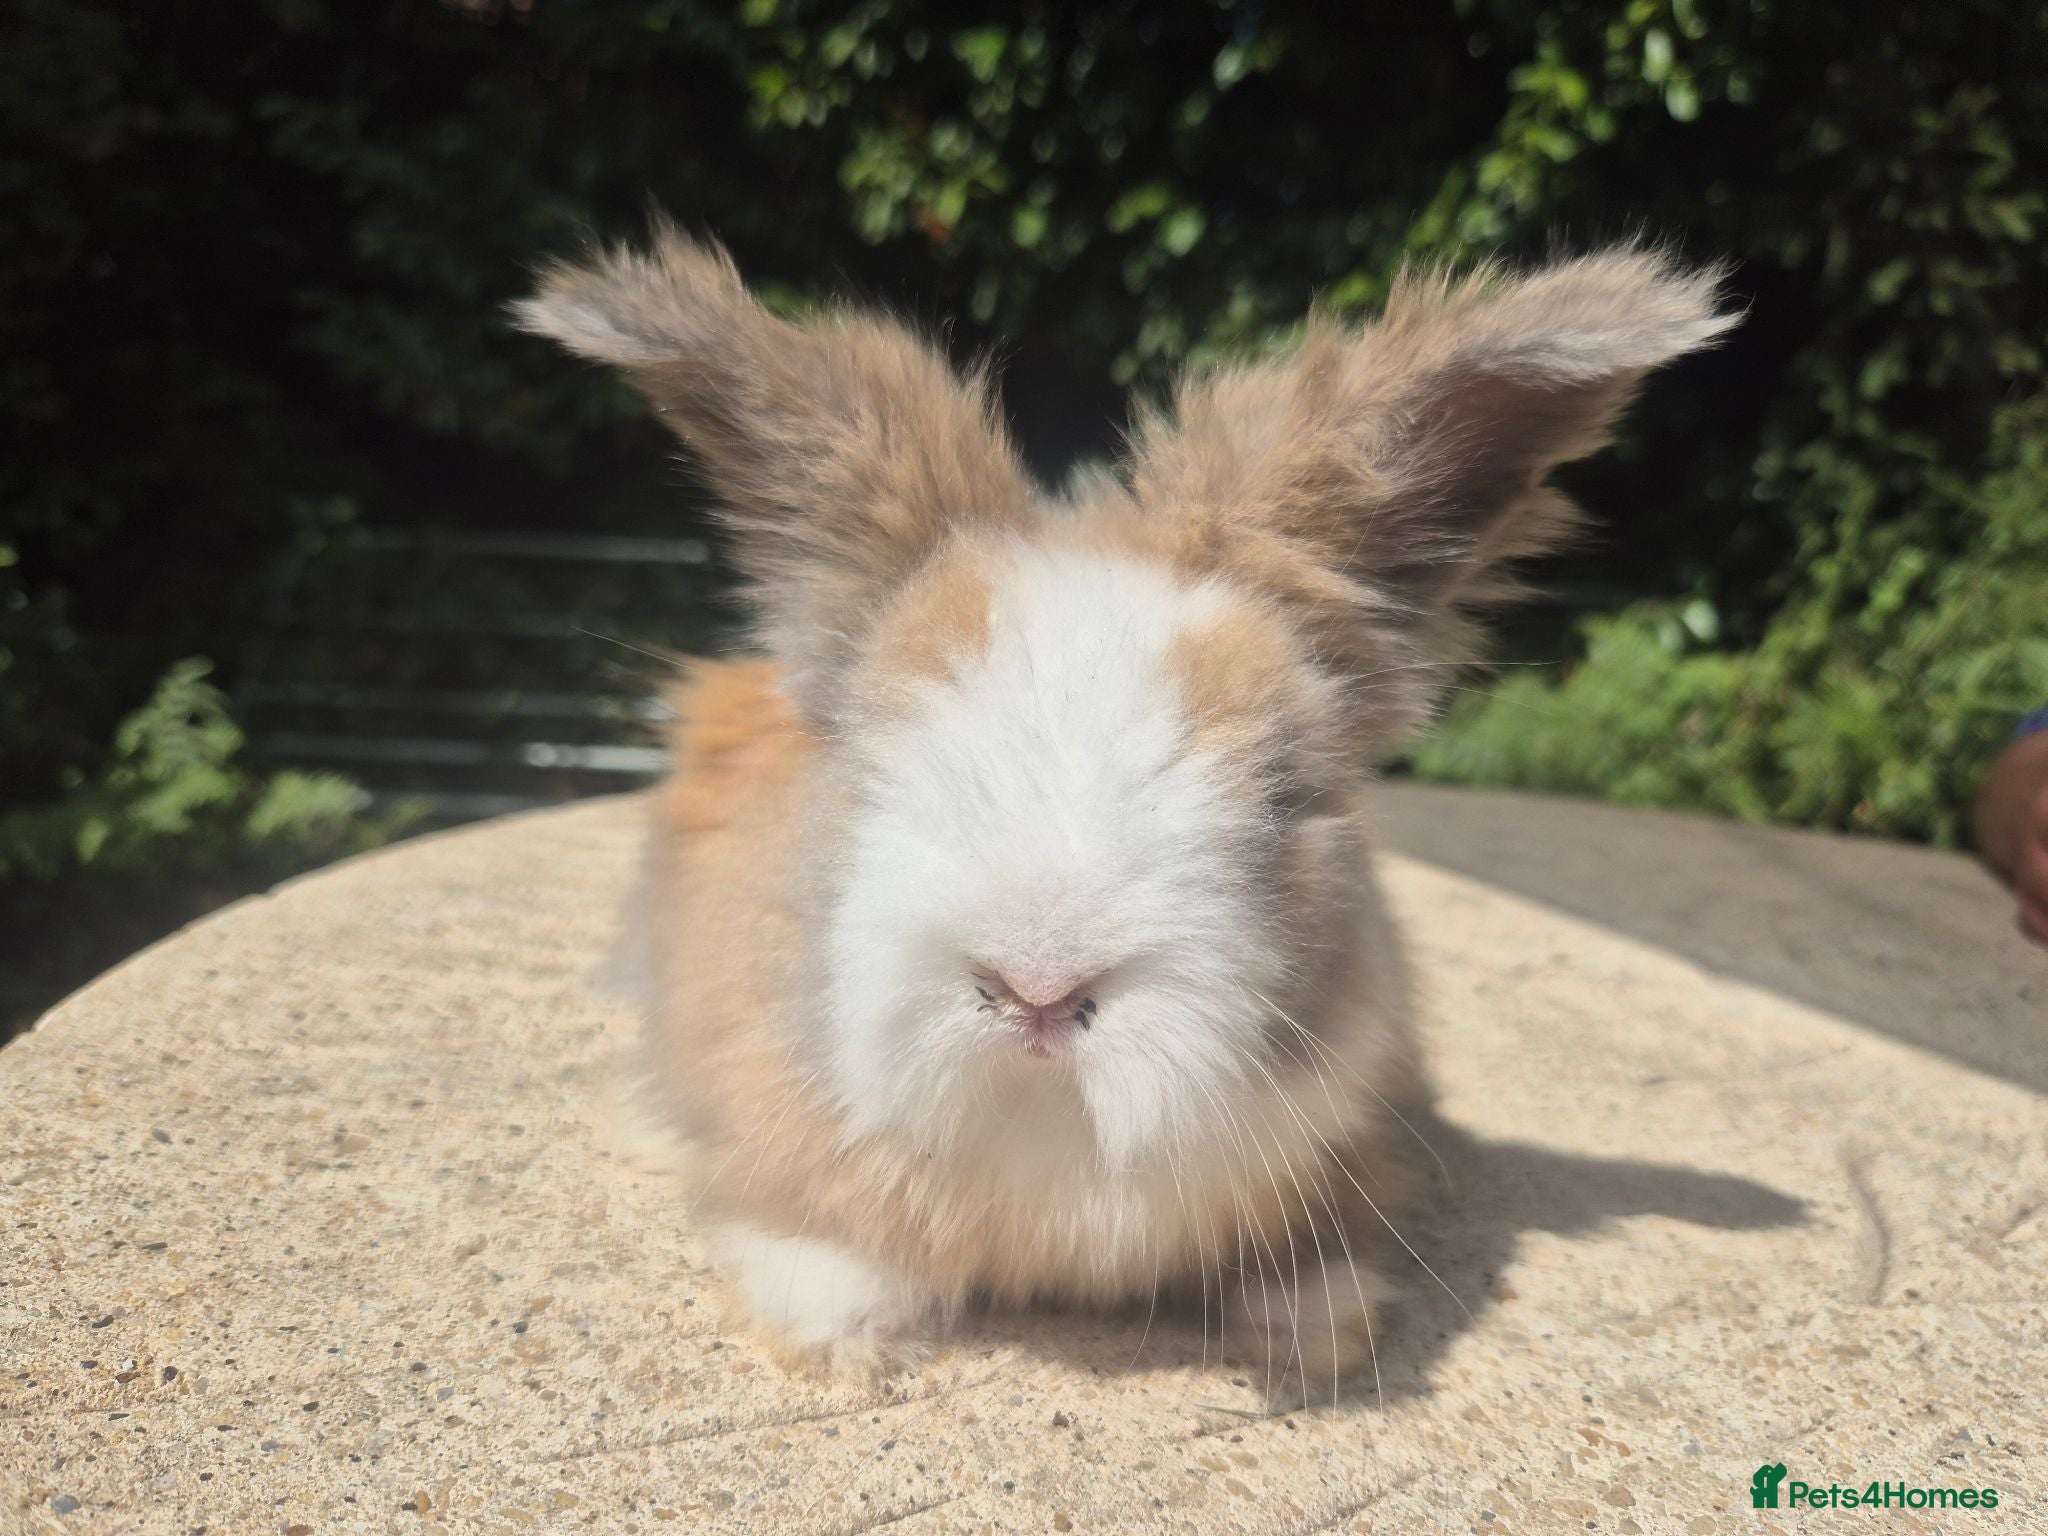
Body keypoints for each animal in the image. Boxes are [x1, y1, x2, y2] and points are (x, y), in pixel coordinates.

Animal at [515, 225, 1734, 1400]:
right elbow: (808, 1241)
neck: (1054, 1131)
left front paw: (1317, 1329)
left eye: (1288, 791)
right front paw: (843, 1340)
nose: (1037, 989)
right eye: (867, 756)